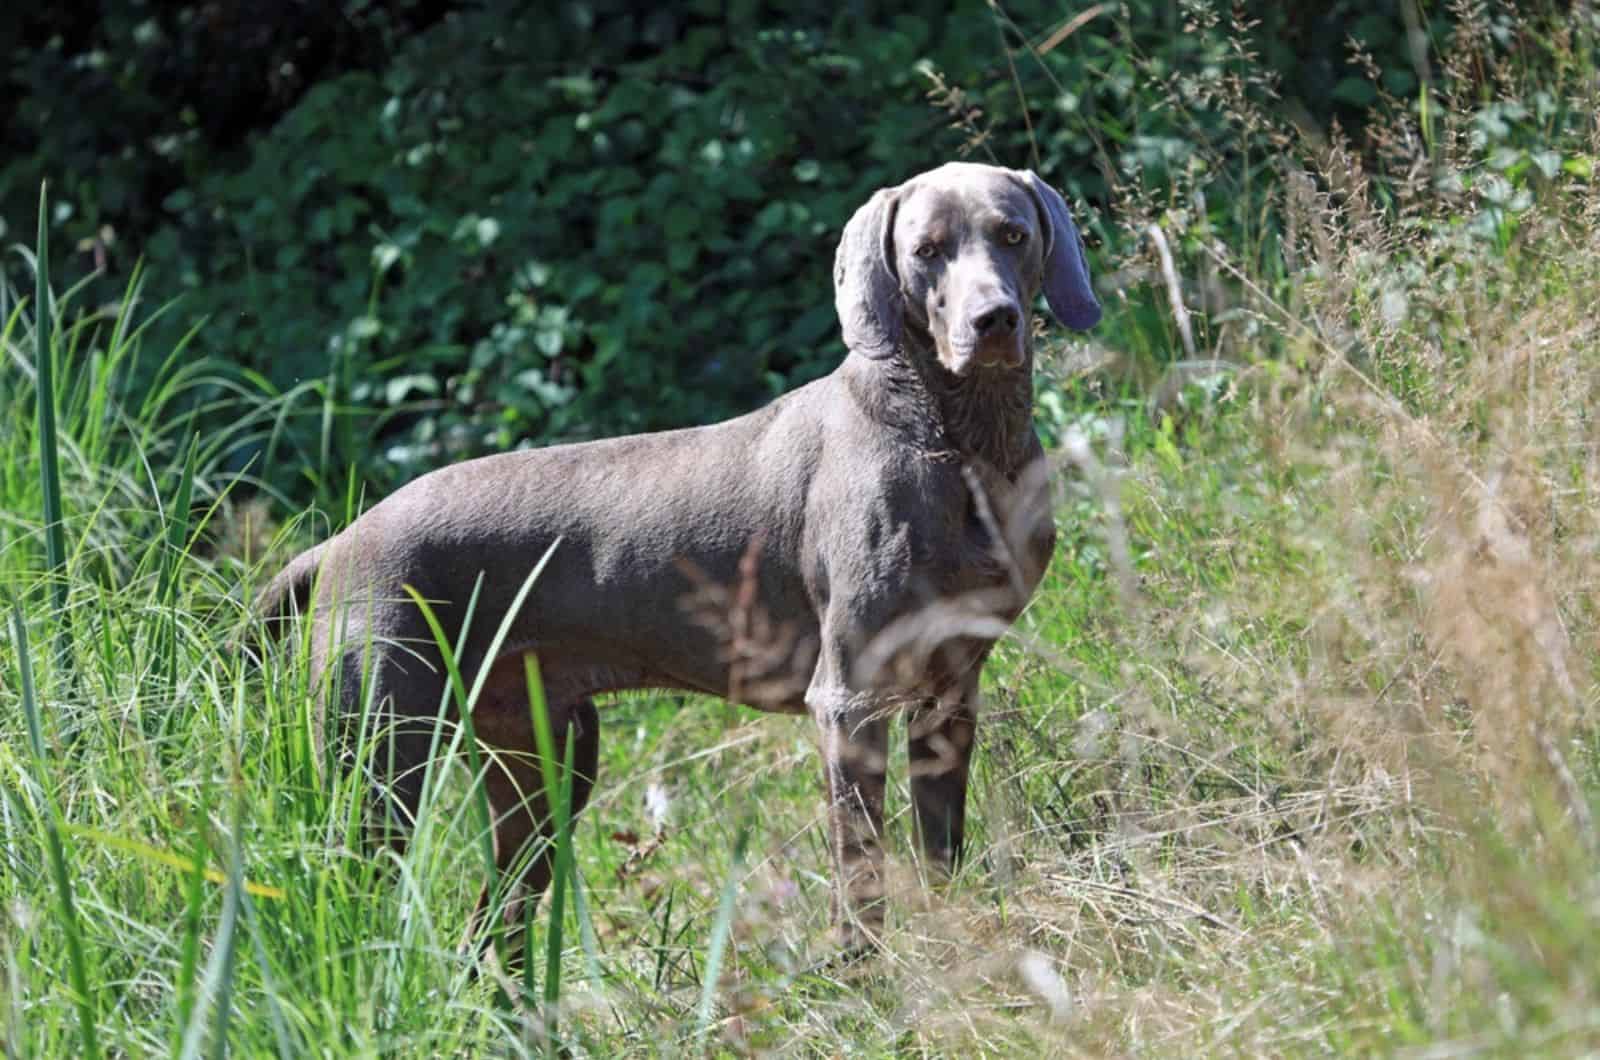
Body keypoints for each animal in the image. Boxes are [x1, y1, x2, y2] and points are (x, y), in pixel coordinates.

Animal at [259, 160, 1100, 960]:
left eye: (1013, 235)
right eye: (926, 251)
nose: (994, 320)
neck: (958, 444)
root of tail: (334, 546)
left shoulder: (950, 692)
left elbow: (939, 855)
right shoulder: (849, 699)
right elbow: (859, 870)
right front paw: (867, 983)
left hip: (549, 764)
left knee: (493, 925)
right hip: (380, 759)